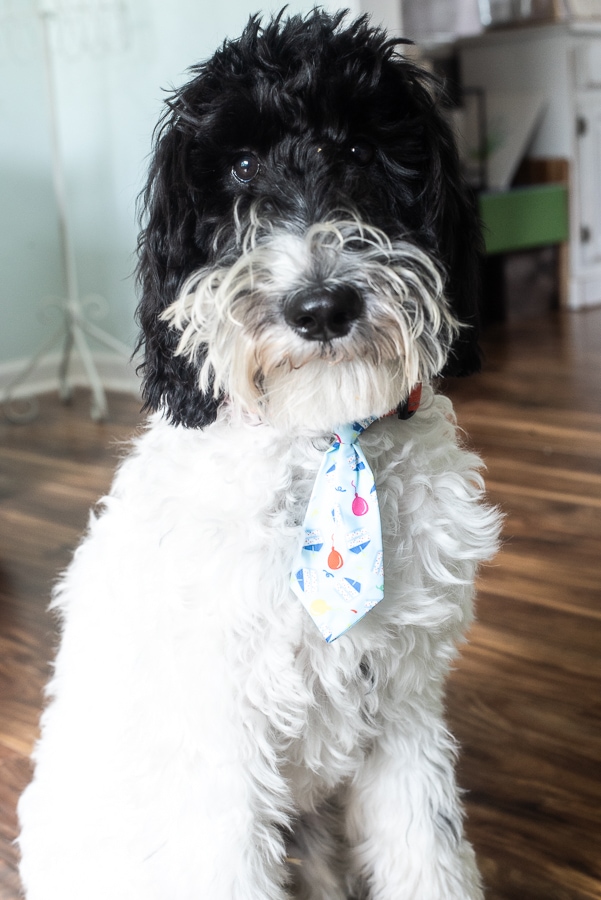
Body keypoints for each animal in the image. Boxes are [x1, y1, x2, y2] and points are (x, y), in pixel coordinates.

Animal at [17, 8, 502, 900]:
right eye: (240, 165)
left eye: (359, 149)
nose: (321, 306)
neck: (323, 442)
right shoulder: (220, 749)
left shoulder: (404, 707)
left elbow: (428, 853)